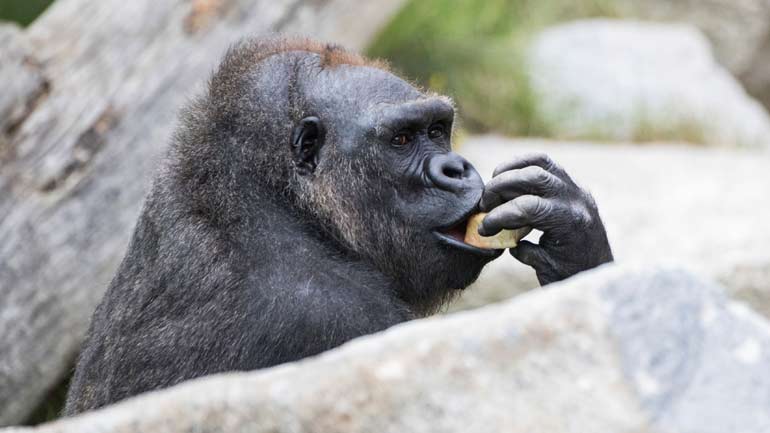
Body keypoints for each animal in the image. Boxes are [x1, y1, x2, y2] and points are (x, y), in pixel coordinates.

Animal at [63, 35, 608, 414]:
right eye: (402, 139)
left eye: (437, 130)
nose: (456, 168)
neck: (277, 202)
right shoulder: (337, 317)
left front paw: (573, 234)